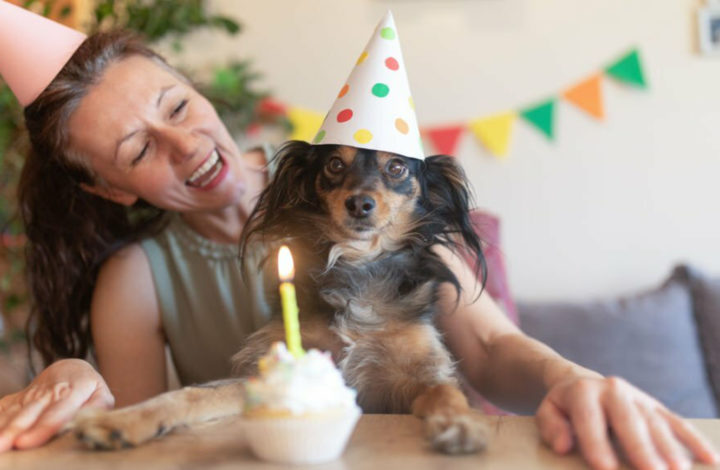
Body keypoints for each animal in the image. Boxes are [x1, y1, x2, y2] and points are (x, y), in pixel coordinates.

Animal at [71, 140, 490, 456]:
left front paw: (460, 424)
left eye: (398, 168)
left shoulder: (411, 379)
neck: (357, 266)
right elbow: (191, 396)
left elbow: (445, 391)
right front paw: (119, 421)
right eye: (335, 164)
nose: (359, 204)